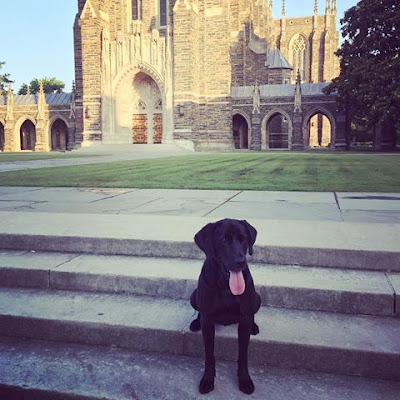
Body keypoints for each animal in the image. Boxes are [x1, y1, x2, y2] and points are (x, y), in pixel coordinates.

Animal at [189, 218, 261, 395]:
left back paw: (254, 326)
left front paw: (245, 379)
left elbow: (243, 354)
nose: (241, 262)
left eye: (244, 239)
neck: (226, 286)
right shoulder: (208, 322)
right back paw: (195, 323)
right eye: (223, 240)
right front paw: (207, 379)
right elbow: (209, 354)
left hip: (257, 299)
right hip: (193, 296)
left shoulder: (244, 320)